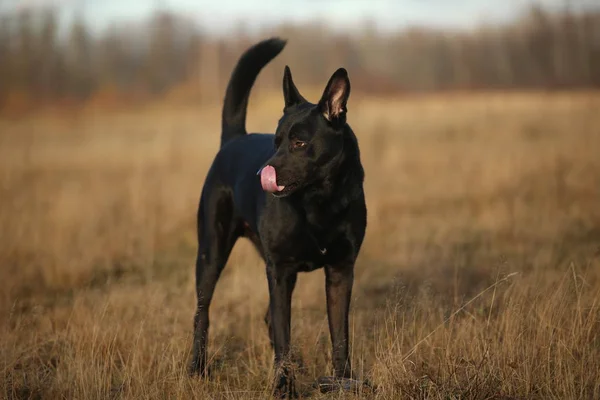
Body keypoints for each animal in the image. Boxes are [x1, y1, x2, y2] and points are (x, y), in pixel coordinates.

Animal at [189, 37, 366, 396]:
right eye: (276, 141)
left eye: (299, 142)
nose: (261, 174)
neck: (319, 201)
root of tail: (233, 139)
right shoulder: (280, 270)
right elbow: (284, 333)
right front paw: (284, 387)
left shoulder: (341, 270)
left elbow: (340, 336)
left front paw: (342, 382)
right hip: (211, 252)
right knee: (203, 312)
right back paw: (197, 368)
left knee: (269, 318)